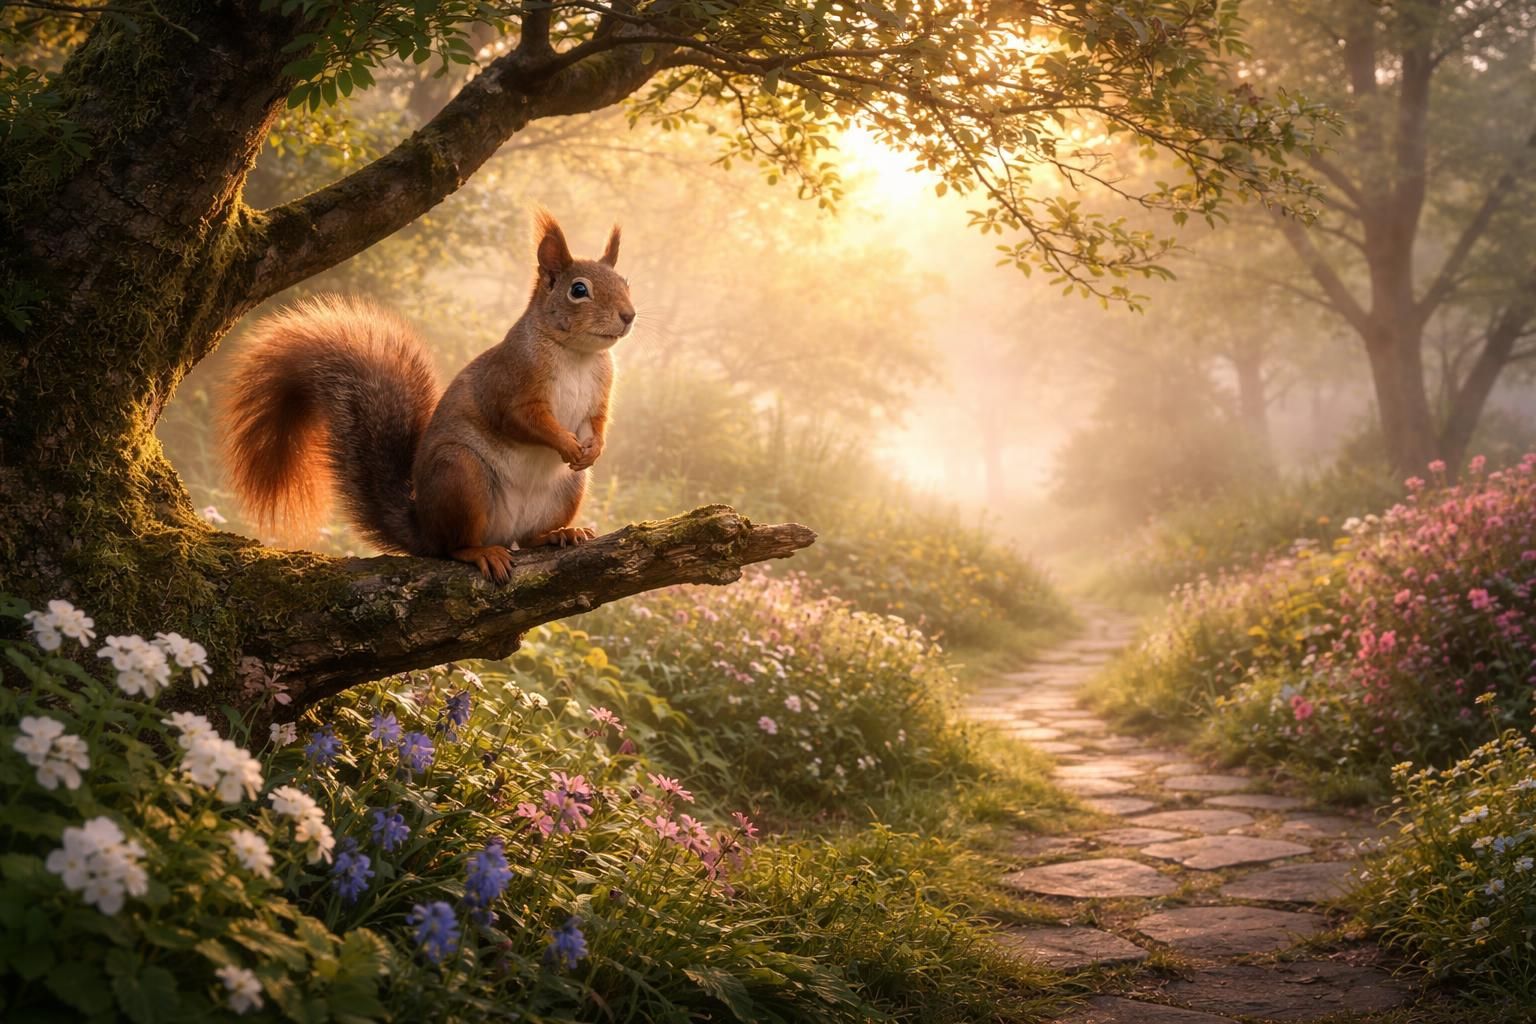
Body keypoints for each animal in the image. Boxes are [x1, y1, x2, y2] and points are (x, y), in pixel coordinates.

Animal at [221, 211, 634, 583]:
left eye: (626, 282)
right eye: (578, 290)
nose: (629, 315)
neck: (576, 354)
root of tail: (424, 528)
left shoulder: (600, 393)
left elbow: (597, 422)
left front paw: (593, 448)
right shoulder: (510, 382)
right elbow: (522, 420)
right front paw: (566, 443)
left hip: (566, 490)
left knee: (529, 538)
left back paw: (559, 533)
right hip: (460, 476)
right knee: (453, 546)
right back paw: (480, 552)